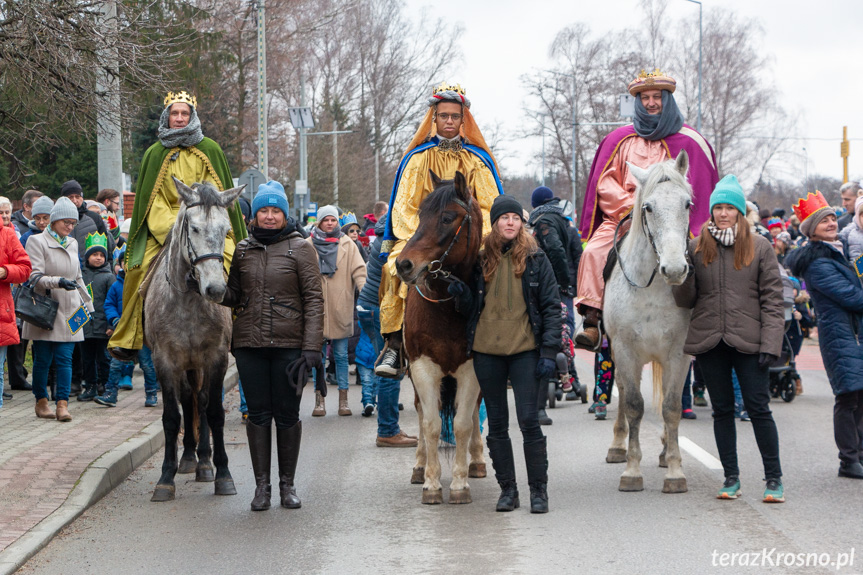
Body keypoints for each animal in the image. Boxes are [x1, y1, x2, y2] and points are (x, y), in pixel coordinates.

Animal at [147, 177, 245, 504]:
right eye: (194, 229)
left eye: (226, 230)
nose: (215, 290)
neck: (188, 302)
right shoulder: (164, 361)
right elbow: (171, 416)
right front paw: (165, 478)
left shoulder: (216, 357)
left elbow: (213, 411)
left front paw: (223, 474)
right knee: (188, 398)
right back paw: (190, 457)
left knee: (199, 400)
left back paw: (204, 462)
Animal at [396, 170, 486, 504]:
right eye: (420, 215)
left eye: (447, 217)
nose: (403, 265)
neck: (447, 307)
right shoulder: (423, 368)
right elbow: (432, 424)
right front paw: (432, 483)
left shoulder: (471, 370)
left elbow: (461, 424)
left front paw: (459, 484)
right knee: (424, 417)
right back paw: (420, 466)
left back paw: (477, 461)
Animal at [604, 151, 700, 492]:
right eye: (648, 207)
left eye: (687, 204)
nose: (675, 269)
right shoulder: (626, 351)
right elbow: (633, 404)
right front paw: (632, 470)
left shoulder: (678, 354)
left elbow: (671, 408)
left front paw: (674, 470)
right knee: (621, 390)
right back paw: (617, 446)